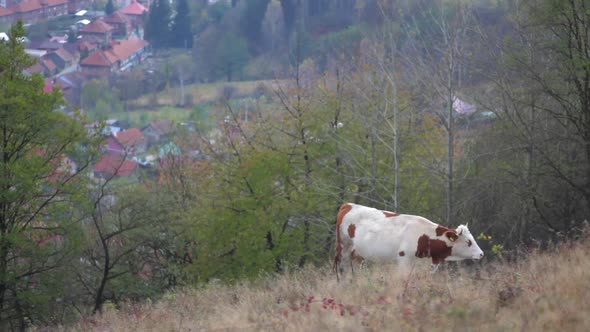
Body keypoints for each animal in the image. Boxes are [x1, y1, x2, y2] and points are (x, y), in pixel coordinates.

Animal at [332, 204, 486, 278]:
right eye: (468, 242)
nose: (481, 254)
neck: (425, 237)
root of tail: (349, 205)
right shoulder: (404, 259)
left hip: (358, 255)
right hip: (344, 248)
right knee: (342, 269)